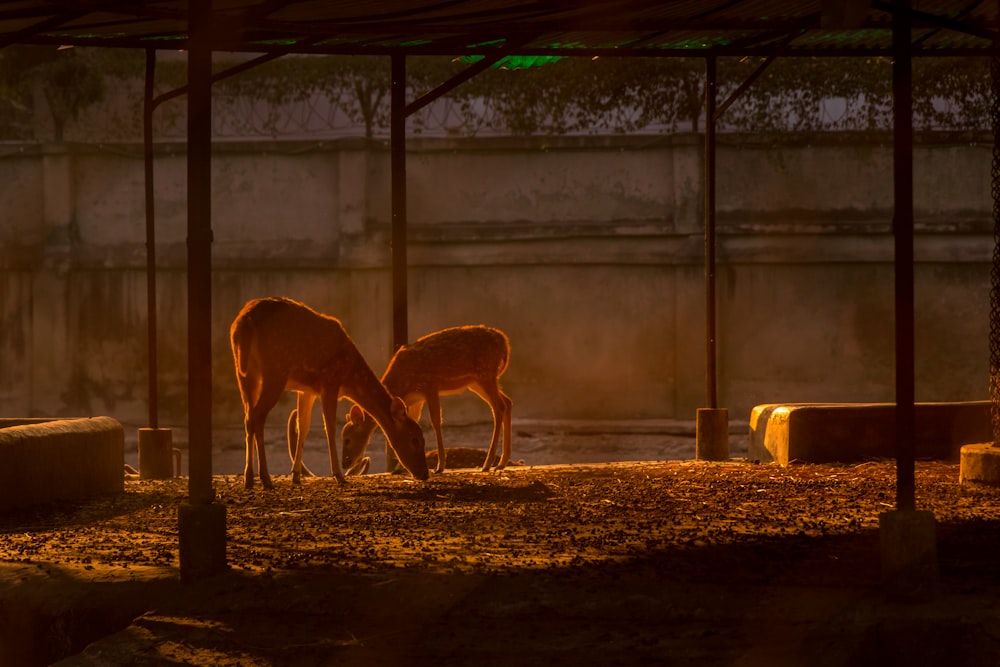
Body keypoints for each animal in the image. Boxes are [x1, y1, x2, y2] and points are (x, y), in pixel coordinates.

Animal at [230, 298, 430, 490]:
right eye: (414, 439)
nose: (425, 473)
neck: (350, 378)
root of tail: (244, 323)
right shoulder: (329, 383)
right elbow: (330, 428)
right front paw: (339, 476)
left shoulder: (306, 390)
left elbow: (303, 427)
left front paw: (296, 476)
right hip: (274, 371)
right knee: (258, 417)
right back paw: (265, 479)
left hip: (245, 374)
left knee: (248, 418)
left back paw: (249, 478)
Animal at [336, 324, 512, 474]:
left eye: (347, 439)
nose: (345, 463)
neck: (402, 384)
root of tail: (505, 341)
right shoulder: (416, 398)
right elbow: (414, 421)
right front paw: (401, 468)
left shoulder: (430, 385)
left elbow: (436, 421)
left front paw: (440, 466)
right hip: (477, 382)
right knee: (507, 402)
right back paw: (501, 463)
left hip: (485, 374)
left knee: (498, 407)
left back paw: (487, 464)